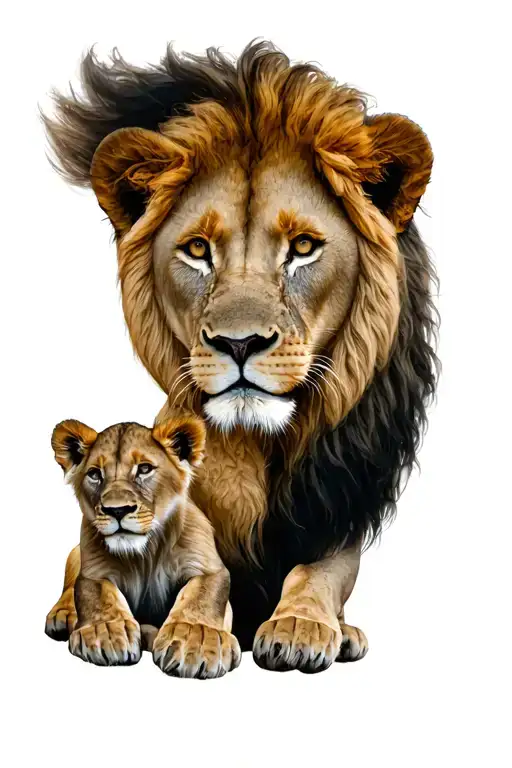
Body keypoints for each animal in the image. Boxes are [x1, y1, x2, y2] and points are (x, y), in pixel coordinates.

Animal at [46, 414, 241, 678]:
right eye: (95, 474)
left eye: (145, 469)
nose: (117, 510)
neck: (145, 554)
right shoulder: (93, 571)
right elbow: (96, 594)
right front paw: (105, 632)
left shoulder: (208, 568)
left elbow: (203, 596)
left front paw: (196, 640)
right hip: (75, 553)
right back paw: (63, 615)